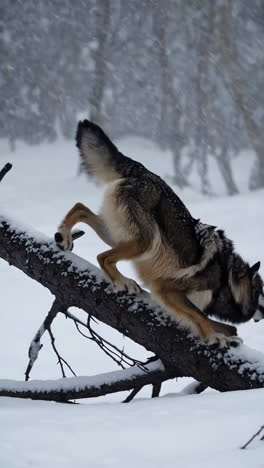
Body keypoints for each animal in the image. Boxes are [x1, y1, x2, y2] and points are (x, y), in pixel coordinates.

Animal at [54, 120, 262, 348]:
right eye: (261, 293)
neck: (226, 279)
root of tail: (144, 172)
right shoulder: (167, 290)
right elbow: (202, 318)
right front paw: (214, 338)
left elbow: (227, 326)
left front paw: (230, 338)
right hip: (145, 243)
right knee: (103, 257)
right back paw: (123, 281)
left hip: (117, 235)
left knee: (80, 208)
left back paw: (64, 235)